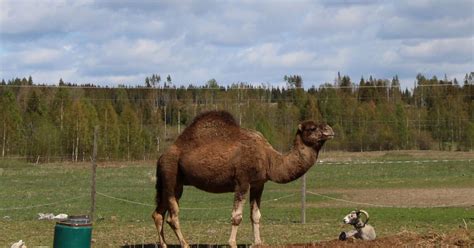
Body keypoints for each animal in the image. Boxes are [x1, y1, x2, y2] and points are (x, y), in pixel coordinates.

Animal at [152, 111, 334, 248]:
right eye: (312, 128)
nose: (330, 129)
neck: (269, 158)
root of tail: (161, 157)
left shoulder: (258, 184)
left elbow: (256, 215)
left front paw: (258, 242)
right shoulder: (242, 181)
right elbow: (237, 216)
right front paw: (232, 243)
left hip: (175, 183)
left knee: (158, 213)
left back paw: (164, 245)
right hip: (170, 173)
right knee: (172, 216)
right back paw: (185, 244)